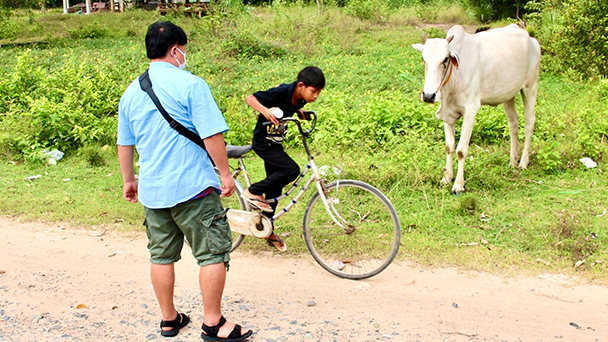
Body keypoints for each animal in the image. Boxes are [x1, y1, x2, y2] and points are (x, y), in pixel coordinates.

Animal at [410, 24, 540, 194]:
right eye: (423, 59)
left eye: (445, 59)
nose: (428, 96)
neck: (454, 79)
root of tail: (530, 38)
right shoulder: (447, 114)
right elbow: (449, 146)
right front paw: (446, 178)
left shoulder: (470, 110)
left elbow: (461, 150)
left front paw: (458, 185)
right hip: (508, 95)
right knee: (513, 122)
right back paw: (513, 160)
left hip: (530, 87)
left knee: (529, 121)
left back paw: (523, 162)